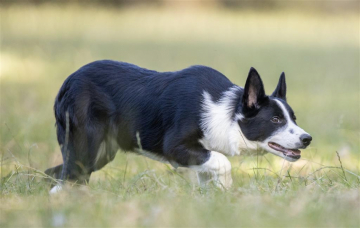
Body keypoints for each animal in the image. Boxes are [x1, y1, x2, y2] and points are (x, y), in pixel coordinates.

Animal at [46, 60, 312, 192]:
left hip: (99, 154)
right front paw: (226, 189)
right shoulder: (175, 148)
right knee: (66, 179)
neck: (224, 113)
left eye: (294, 118)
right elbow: (222, 162)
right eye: (275, 120)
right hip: (86, 148)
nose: (307, 139)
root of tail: (66, 83)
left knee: (58, 175)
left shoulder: (197, 158)